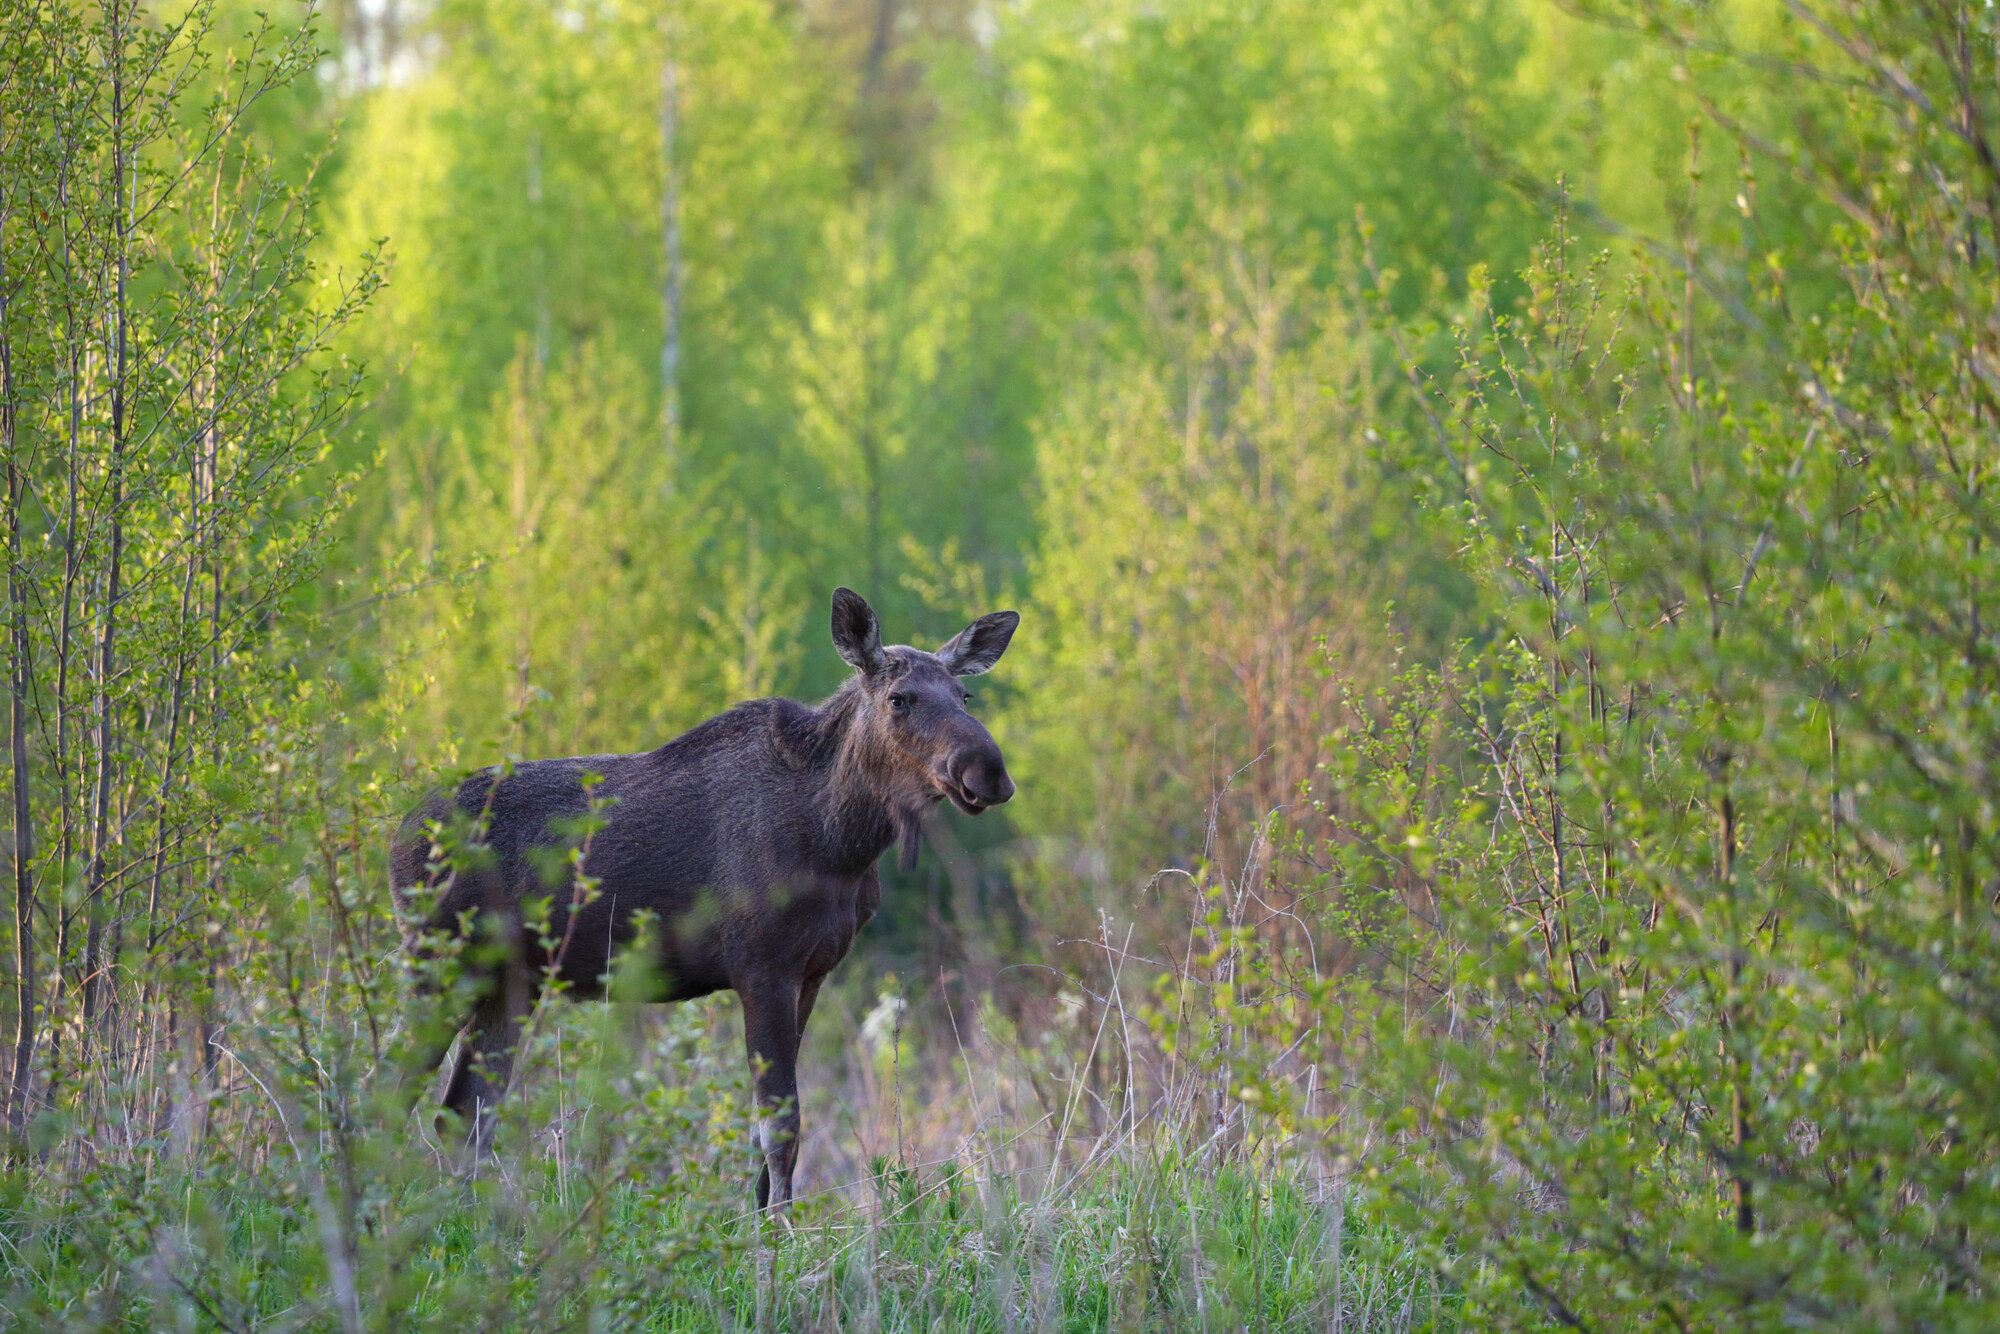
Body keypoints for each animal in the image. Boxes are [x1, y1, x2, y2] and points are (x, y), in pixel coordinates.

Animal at [392, 587, 1019, 1210]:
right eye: (898, 699)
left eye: (964, 694)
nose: (987, 771)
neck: (841, 840)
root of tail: (396, 835)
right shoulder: (762, 969)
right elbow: (779, 1127)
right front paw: (778, 1230)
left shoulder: (812, 973)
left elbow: (773, 1133)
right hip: (439, 962)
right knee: (394, 1088)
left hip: (506, 980)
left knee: (462, 1114)